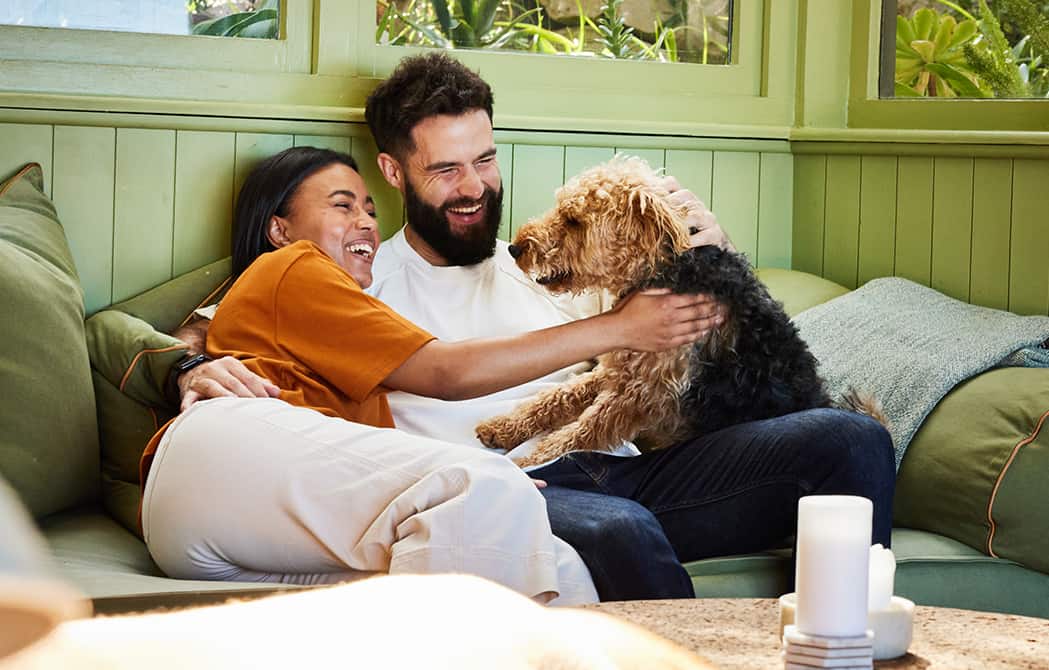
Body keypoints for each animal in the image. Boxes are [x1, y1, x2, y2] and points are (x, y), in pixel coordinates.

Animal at [474, 157, 876, 471]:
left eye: (574, 220)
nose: (515, 248)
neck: (660, 271)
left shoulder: (640, 394)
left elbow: (577, 432)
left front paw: (527, 461)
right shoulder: (618, 369)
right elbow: (556, 398)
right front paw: (503, 428)